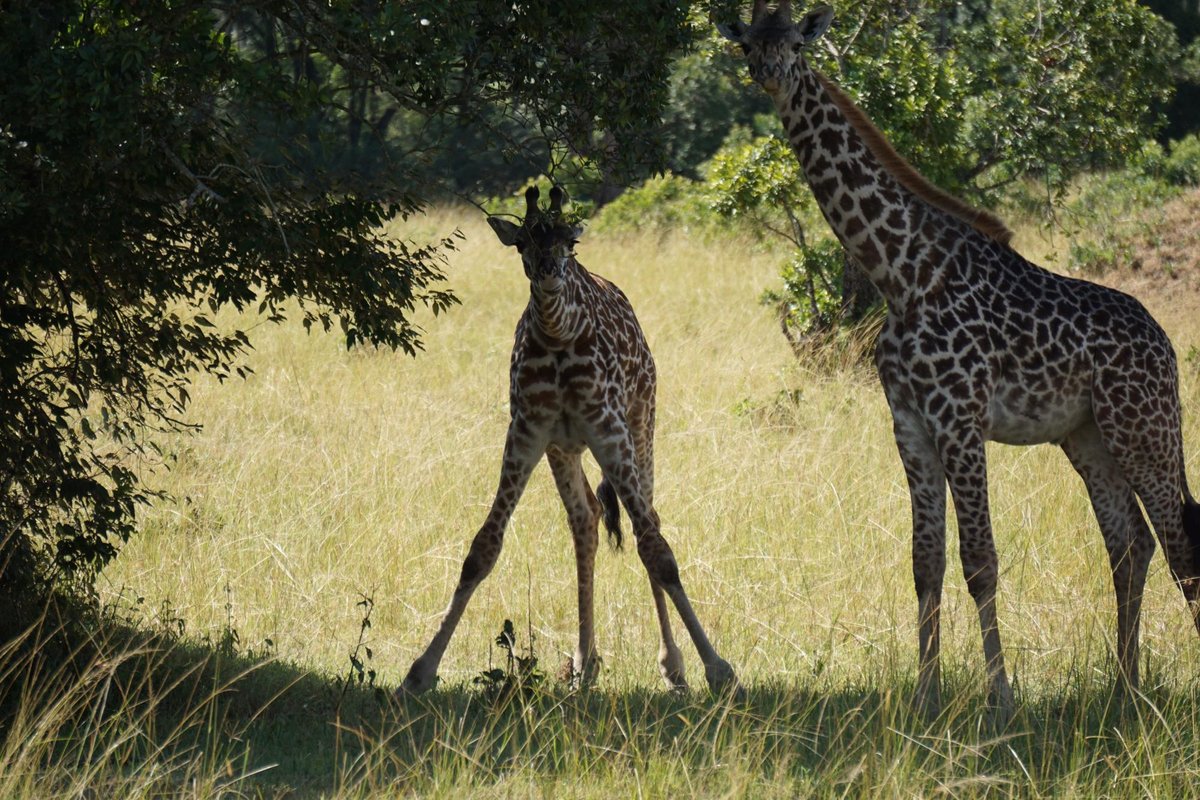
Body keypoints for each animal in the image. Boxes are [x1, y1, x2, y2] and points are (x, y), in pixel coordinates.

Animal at [398, 185, 734, 695]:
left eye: (568, 242)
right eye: (522, 242)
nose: (549, 273)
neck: (559, 335)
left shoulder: (610, 429)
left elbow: (658, 551)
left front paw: (717, 670)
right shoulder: (527, 431)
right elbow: (482, 549)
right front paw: (420, 670)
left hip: (642, 422)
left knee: (649, 519)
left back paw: (670, 666)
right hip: (564, 449)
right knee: (586, 520)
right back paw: (583, 663)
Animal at [720, 0, 1200, 714]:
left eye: (797, 46)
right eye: (749, 44)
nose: (770, 75)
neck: (900, 273)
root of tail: (1165, 344)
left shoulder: (961, 420)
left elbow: (980, 560)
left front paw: (1000, 695)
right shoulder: (911, 425)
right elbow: (927, 563)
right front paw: (926, 694)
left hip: (1144, 431)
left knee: (1178, 543)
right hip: (1088, 436)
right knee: (1131, 544)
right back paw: (1125, 687)